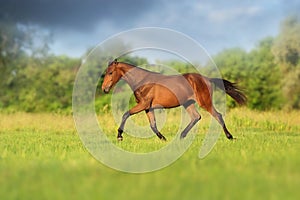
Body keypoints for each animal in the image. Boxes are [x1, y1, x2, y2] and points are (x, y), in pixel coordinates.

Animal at [101, 59, 246, 141]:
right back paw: (182, 136)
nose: (104, 89)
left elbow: (125, 114)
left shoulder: (143, 105)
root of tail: (206, 79)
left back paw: (230, 137)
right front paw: (163, 138)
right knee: (196, 117)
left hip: (205, 102)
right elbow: (153, 125)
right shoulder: (148, 107)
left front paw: (119, 136)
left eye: (110, 72)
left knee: (218, 115)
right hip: (188, 103)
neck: (142, 81)